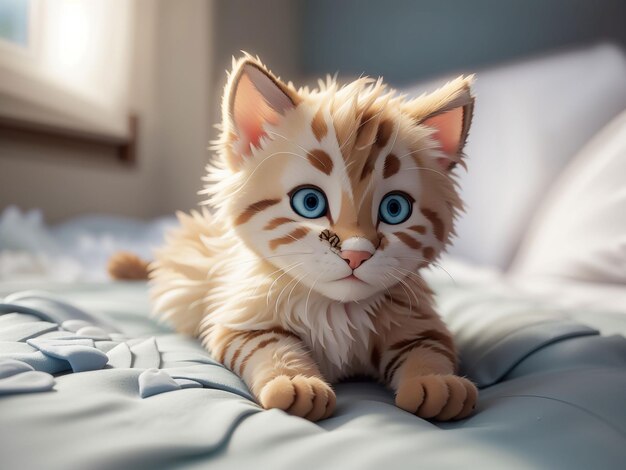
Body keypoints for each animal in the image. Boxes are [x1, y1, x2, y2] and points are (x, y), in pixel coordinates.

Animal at [109, 54, 476, 422]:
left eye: (395, 208)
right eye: (310, 202)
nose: (357, 254)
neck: (337, 310)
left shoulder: (419, 324)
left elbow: (427, 350)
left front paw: (437, 383)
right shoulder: (241, 320)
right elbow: (271, 348)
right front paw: (296, 383)